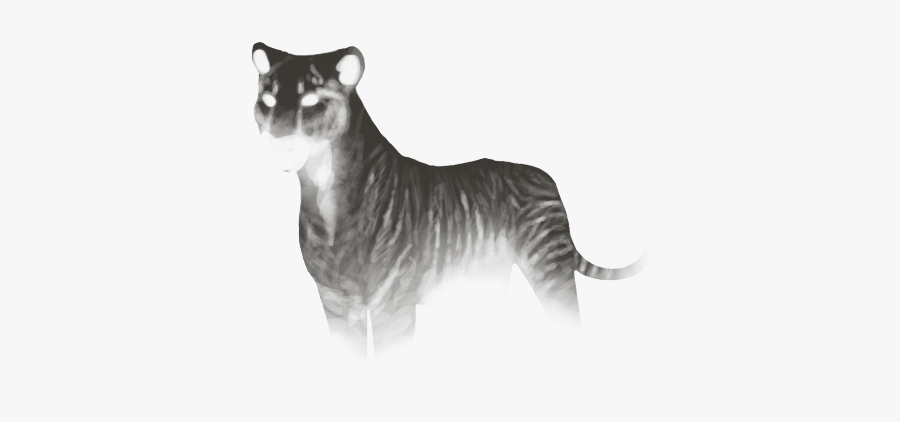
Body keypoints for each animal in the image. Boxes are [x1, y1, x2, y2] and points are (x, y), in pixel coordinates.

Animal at [251, 42, 647, 359]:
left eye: (311, 102)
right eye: (266, 101)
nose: (275, 145)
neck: (322, 195)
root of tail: (546, 177)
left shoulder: (390, 302)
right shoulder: (335, 301)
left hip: (550, 269)